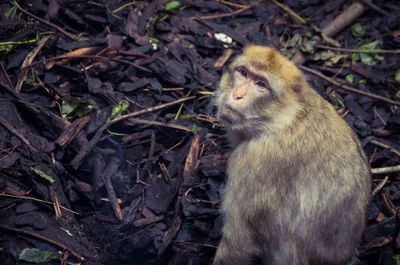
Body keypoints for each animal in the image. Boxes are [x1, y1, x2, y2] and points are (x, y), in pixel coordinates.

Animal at [214, 45, 370, 264]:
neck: (282, 120)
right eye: (243, 73)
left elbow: (240, 237)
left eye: (261, 84)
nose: (238, 94)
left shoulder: (255, 164)